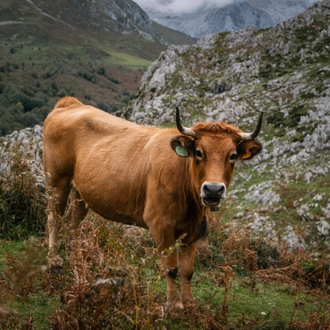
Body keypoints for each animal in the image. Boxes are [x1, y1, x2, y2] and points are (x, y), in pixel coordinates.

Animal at [43, 96, 262, 308]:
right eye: (199, 152)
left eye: (232, 155)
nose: (214, 189)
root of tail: (70, 103)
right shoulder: (161, 225)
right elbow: (171, 267)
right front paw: (174, 305)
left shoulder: (195, 230)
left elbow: (187, 270)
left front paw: (189, 303)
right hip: (56, 181)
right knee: (54, 218)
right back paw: (54, 260)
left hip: (80, 191)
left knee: (73, 222)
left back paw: (79, 260)